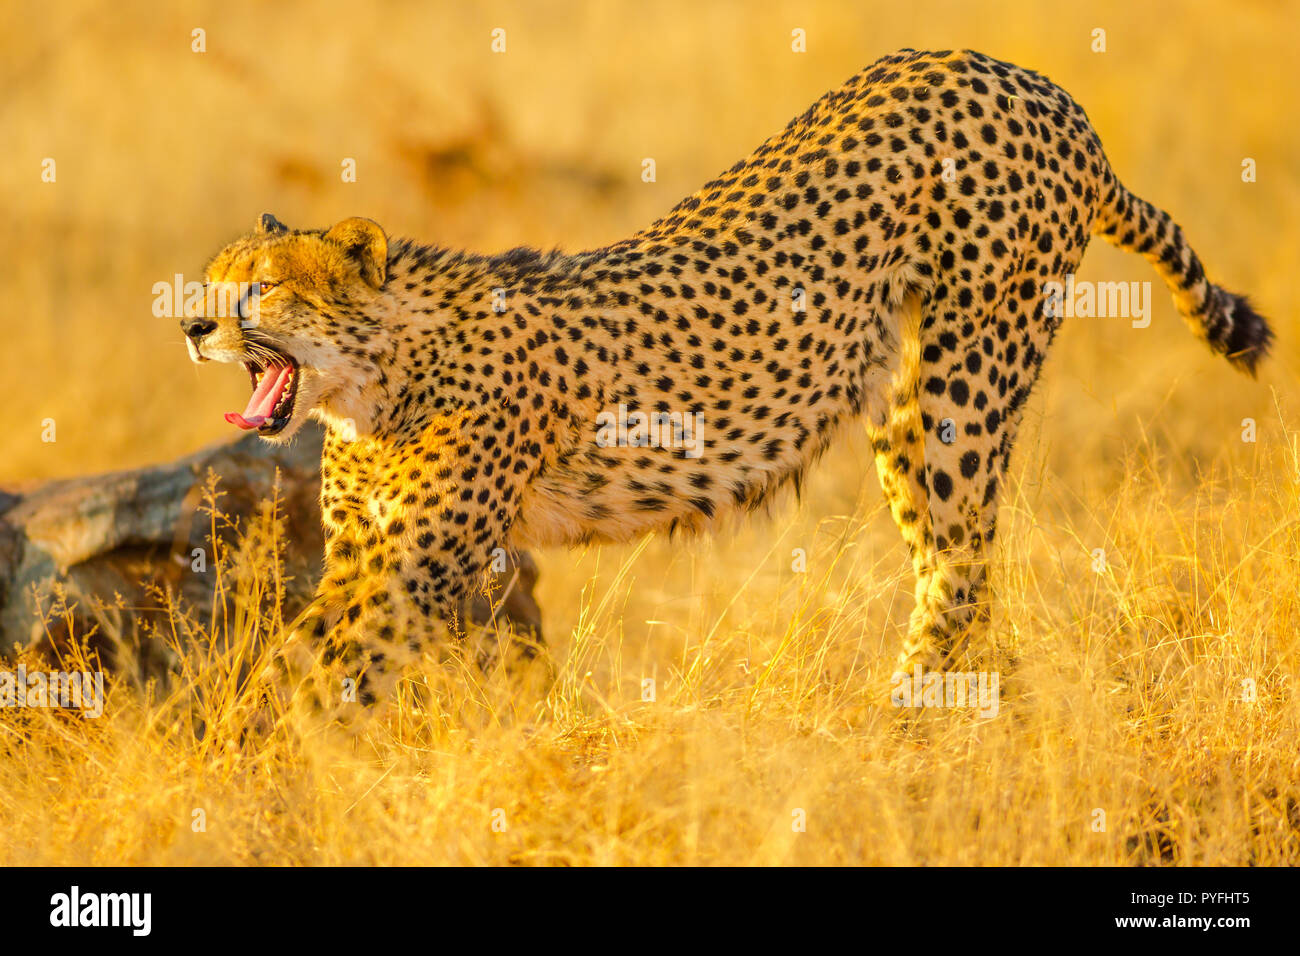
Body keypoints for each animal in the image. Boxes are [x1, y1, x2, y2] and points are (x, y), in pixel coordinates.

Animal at [183, 48, 1268, 712]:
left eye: (263, 286)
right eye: (213, 277)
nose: (191, 322)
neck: (375, 381)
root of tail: (1024, 77)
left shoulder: (414, 565)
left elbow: (309, 672)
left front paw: (253, 771)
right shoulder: (366, 553)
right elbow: (302, 656)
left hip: (966, 380)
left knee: (961, 564)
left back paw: (901, 726)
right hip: (906, 402)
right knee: (954, 566)